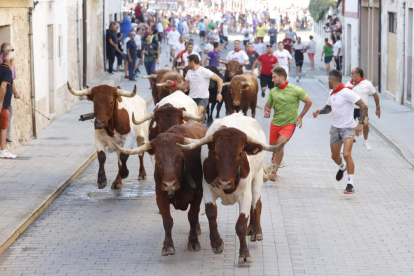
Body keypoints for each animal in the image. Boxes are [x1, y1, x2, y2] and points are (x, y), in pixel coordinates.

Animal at [115, 122, 207, 256]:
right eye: (157, 159)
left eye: (180, 157)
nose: (169, 185)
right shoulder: (160, 197)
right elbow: (167, 221)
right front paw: (168, 246)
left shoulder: (197, 195)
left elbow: (193, 217)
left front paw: (193, 242)